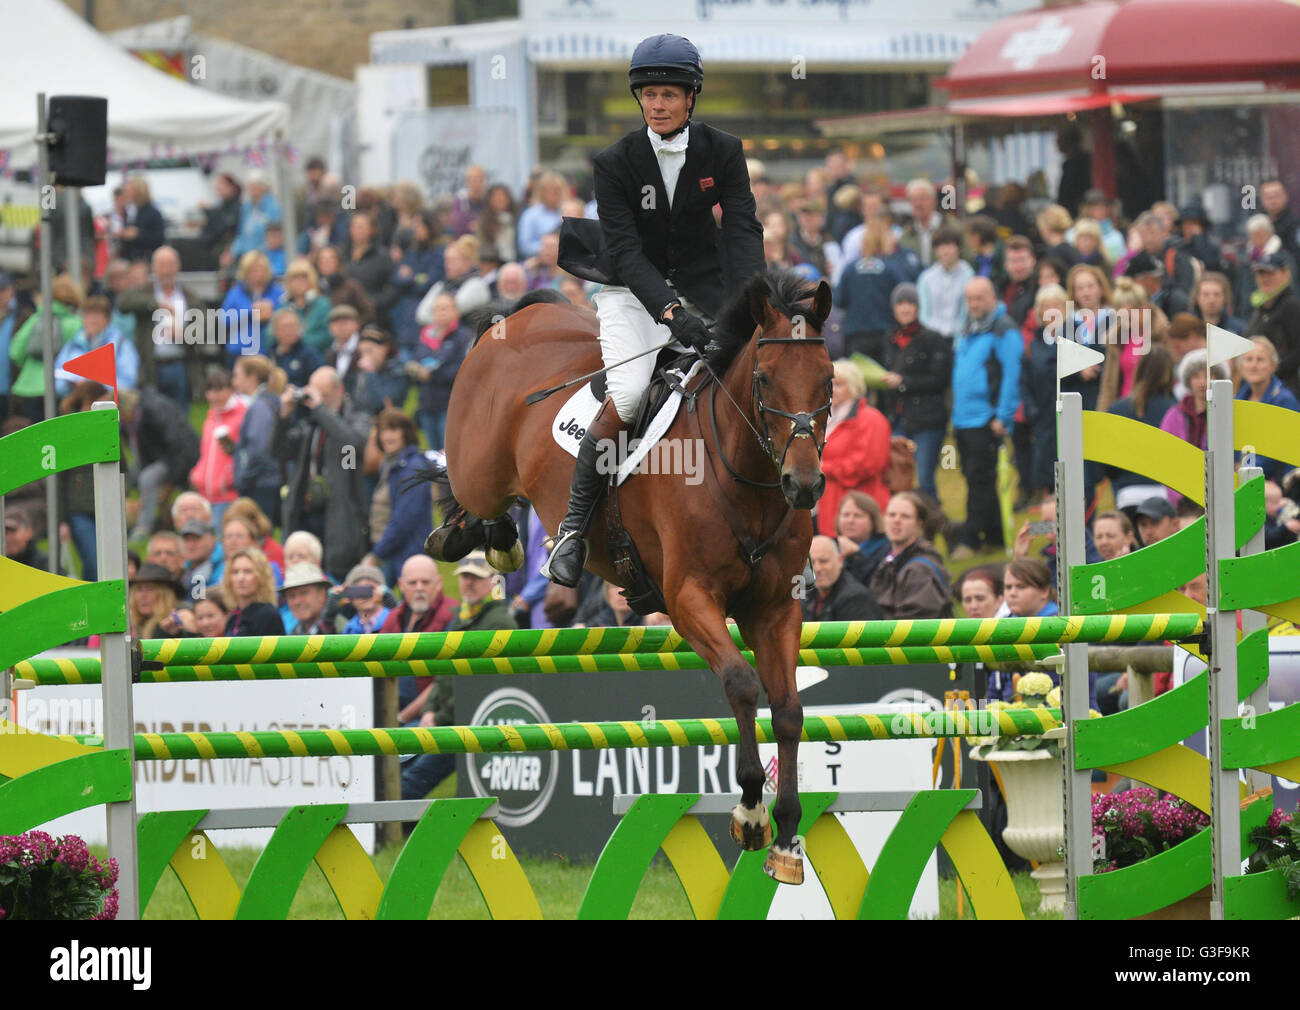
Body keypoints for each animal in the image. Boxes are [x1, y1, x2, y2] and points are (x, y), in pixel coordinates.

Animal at [428, 270, 832, 883]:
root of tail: (523, 315)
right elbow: (741, 683)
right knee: (474, 496)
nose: (803, 486)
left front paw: (786, 835)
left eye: (828, 379)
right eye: (764, 380)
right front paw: (749, 811)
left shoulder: (775, 610)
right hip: (482, 472)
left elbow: (788, 709)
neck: (745, 479)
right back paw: (490, 540)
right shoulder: (689, 600)